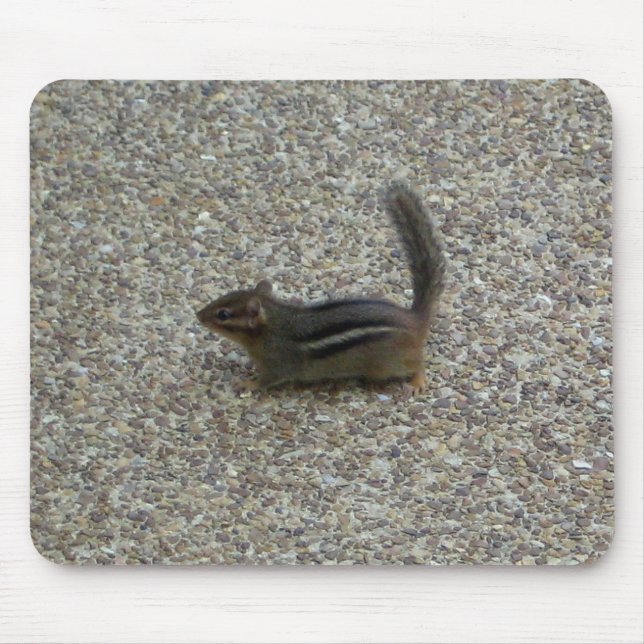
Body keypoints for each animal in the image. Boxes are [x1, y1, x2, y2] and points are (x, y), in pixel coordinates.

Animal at [196, 182, 446, 393]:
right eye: (225, 296)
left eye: (223, 314)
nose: (198, 315)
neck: (272, 325)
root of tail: (414, 320)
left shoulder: (278, 365)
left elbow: (266, 381)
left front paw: (246, 383)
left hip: (387, 365)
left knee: (417, 363)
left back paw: (417, 381)